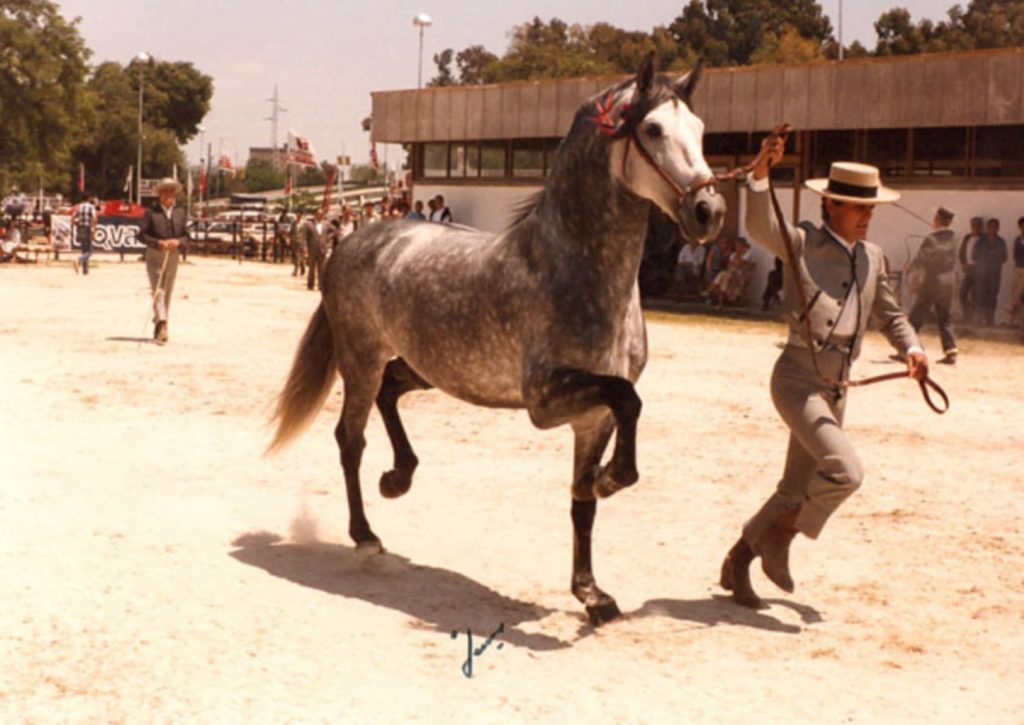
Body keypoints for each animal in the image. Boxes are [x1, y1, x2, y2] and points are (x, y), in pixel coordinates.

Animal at [268, 56, 724, 622]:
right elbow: (628, 403)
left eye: (701, 130)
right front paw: (612, 478)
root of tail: (354, 240)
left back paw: (399, 477)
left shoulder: (591, 419)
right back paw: (367, 535)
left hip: (426, 366)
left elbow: (583, 501)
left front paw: (591, 592)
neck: (575, 268)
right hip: (361, 359)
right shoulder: (546, 401)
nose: (709, 211)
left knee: (389, 394)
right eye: (654, 129)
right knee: (350, 438)